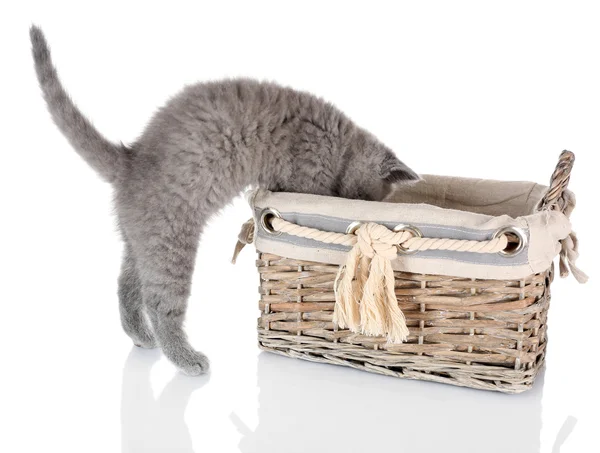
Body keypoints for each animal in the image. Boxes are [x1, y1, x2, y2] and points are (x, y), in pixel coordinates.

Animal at [30, 26, 420, 376]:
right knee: (160, 302)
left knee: (126, 284)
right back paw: (185, 358)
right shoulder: (306, 174)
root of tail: (129, 160)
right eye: (364, 198)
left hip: (143, 239)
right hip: (171, 240)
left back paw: (139, 335)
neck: (340, 144)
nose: (358, 207)